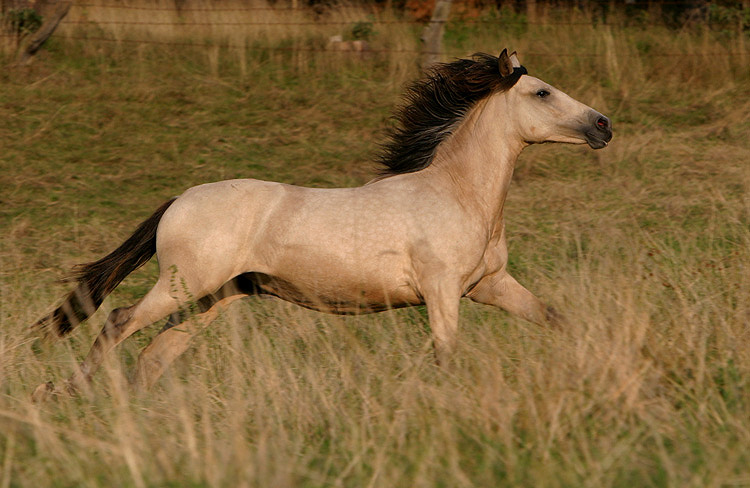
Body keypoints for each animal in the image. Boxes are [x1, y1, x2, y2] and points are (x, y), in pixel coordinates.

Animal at [32, 49, 612, 400]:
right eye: (542, 92)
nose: (603, 124)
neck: (459, 194)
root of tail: (180, 200)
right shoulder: (443, 291)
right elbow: (445, 355)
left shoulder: (489, 285)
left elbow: (556, 319)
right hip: (185, 285)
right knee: (119, 321)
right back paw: (64, 393)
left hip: (213, 298)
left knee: (154, 356)